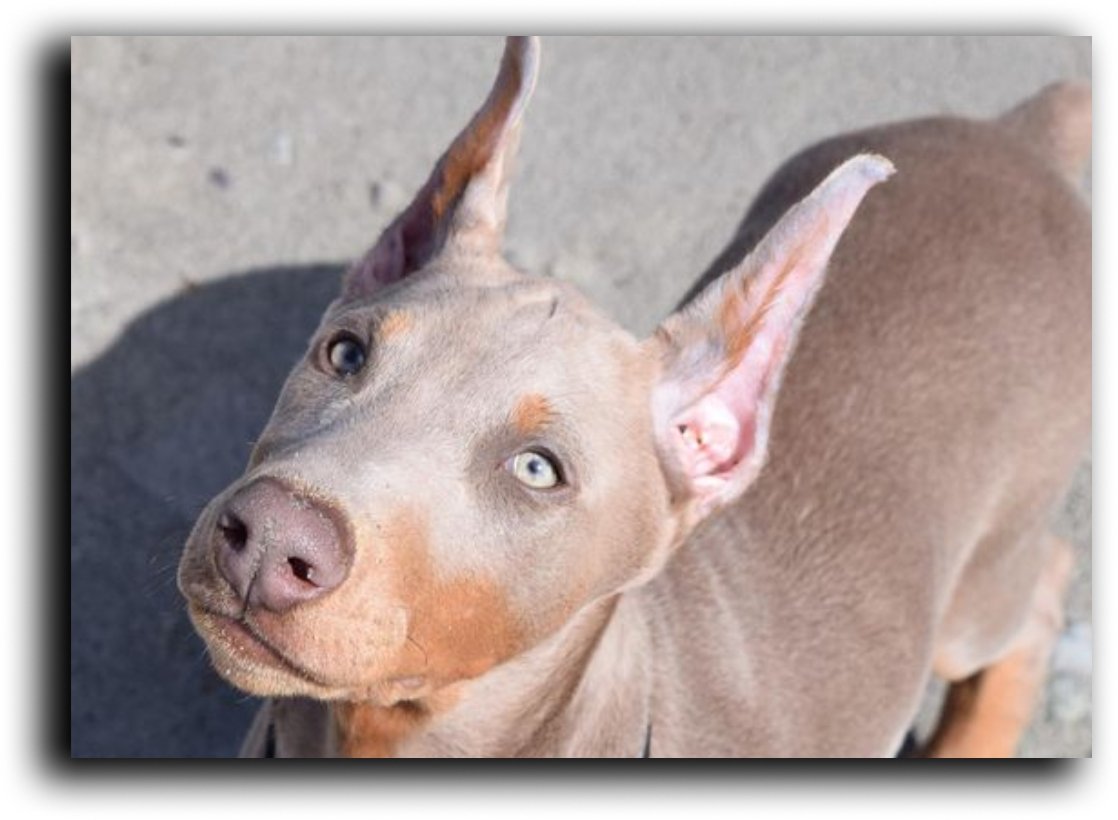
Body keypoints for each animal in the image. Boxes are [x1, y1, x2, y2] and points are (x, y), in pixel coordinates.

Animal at [176, 36, 1091, 756]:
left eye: (538, 470)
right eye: (345, 353)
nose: (269, 540)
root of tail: (1020, 137)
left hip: (980, 591)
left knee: (1043, 582)